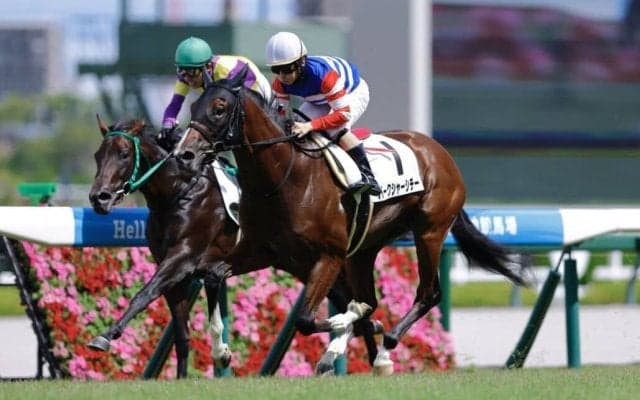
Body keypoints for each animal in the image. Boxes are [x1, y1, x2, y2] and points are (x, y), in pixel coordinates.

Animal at [88, 117, 377, 377]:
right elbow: (181, 336)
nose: (98, 197)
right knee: (351, 304)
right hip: (305, 265)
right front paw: (184, 376)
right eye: (97, 156)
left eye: (124, 154)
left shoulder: (181, 260)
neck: (180, 193)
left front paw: (105, 336)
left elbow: (143, 295)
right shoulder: (174, 274)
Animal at [173, 71, 529, 375]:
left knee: (428, 293)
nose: (185, 155)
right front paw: (221, 351)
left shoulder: (329, 256)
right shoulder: (265, 251)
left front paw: (357, 324)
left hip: (429, 231)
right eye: (194, 106)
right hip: (364, 250)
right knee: (372, 299)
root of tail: (439, 152)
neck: (285, 177)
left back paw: (384, 350)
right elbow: (214, 275)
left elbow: (306, 319)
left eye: (219, 109)